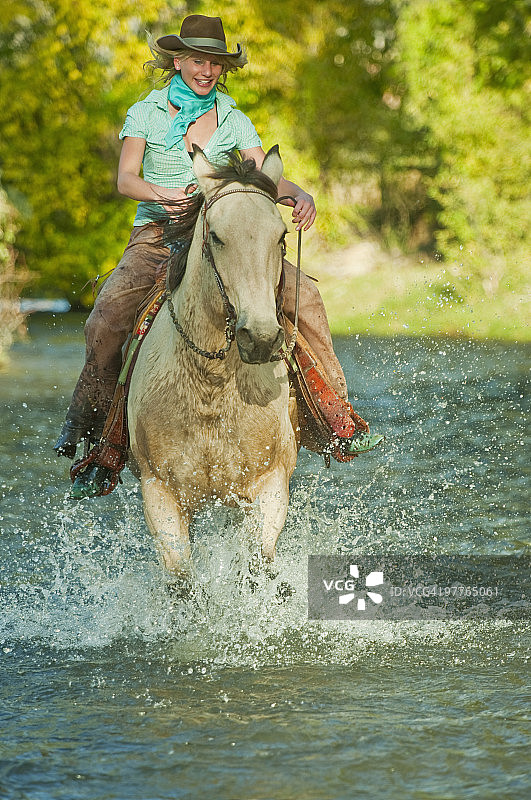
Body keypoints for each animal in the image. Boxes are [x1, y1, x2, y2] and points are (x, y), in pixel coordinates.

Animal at [127, 146, 299, 579]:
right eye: (217, 237)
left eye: (281, 236)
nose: (261, 338)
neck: (211, 383)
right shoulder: (160, 494)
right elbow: (183, 581)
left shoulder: (269, 485)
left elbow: (257, 566)